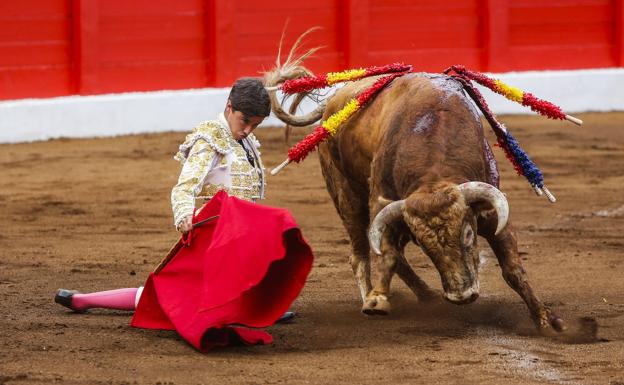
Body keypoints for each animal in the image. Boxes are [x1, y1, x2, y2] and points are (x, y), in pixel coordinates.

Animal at [266, 51, 568, 332]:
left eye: (468, 234)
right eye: (424, 245)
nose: (462, 296)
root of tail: (335, 100)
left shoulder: (492, 213)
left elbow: (513, 269)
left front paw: (547, 321)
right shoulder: (381, 203)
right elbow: (386, 254)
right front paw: (377, 300)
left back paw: (426, 295)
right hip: (344, 194)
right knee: (361, 252)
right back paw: (373, 296)